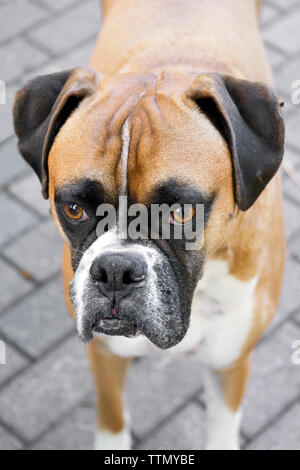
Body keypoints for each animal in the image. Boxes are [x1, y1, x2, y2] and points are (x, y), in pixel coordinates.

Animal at [12, 0, 284, 450]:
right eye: (74, 209)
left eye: (181, 212)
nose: (116, 271)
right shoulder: (104, 357)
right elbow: (113, 420)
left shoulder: (230, 365)